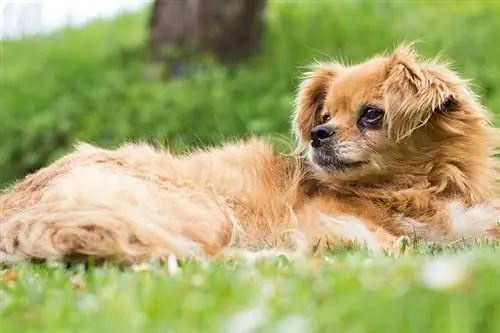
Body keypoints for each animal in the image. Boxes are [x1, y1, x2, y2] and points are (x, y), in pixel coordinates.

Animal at [0, 43, 500, 264]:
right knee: (198, 258)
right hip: (207, 209)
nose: (318, 134)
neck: (422, 189)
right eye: (325, 114)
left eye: (372, 115)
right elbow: (395, 242)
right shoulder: (322, 221)